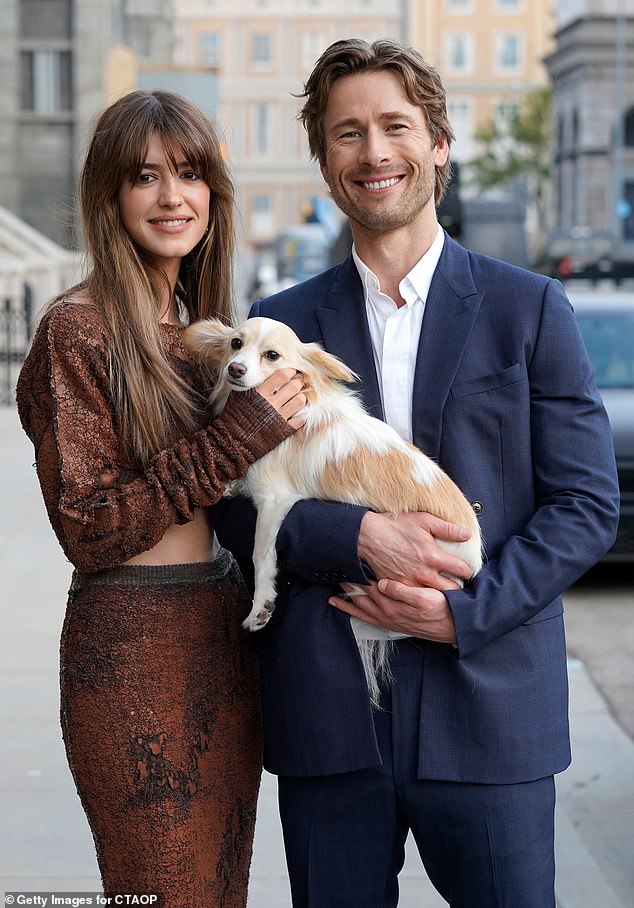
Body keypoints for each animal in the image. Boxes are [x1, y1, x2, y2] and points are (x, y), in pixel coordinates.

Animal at [185, 318, 482, 704]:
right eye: (236, 344)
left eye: (272, 356)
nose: (235, 369)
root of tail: (474, 557)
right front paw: (229, 483)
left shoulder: (275, 500)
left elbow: (261, 556)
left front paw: (261, 606)